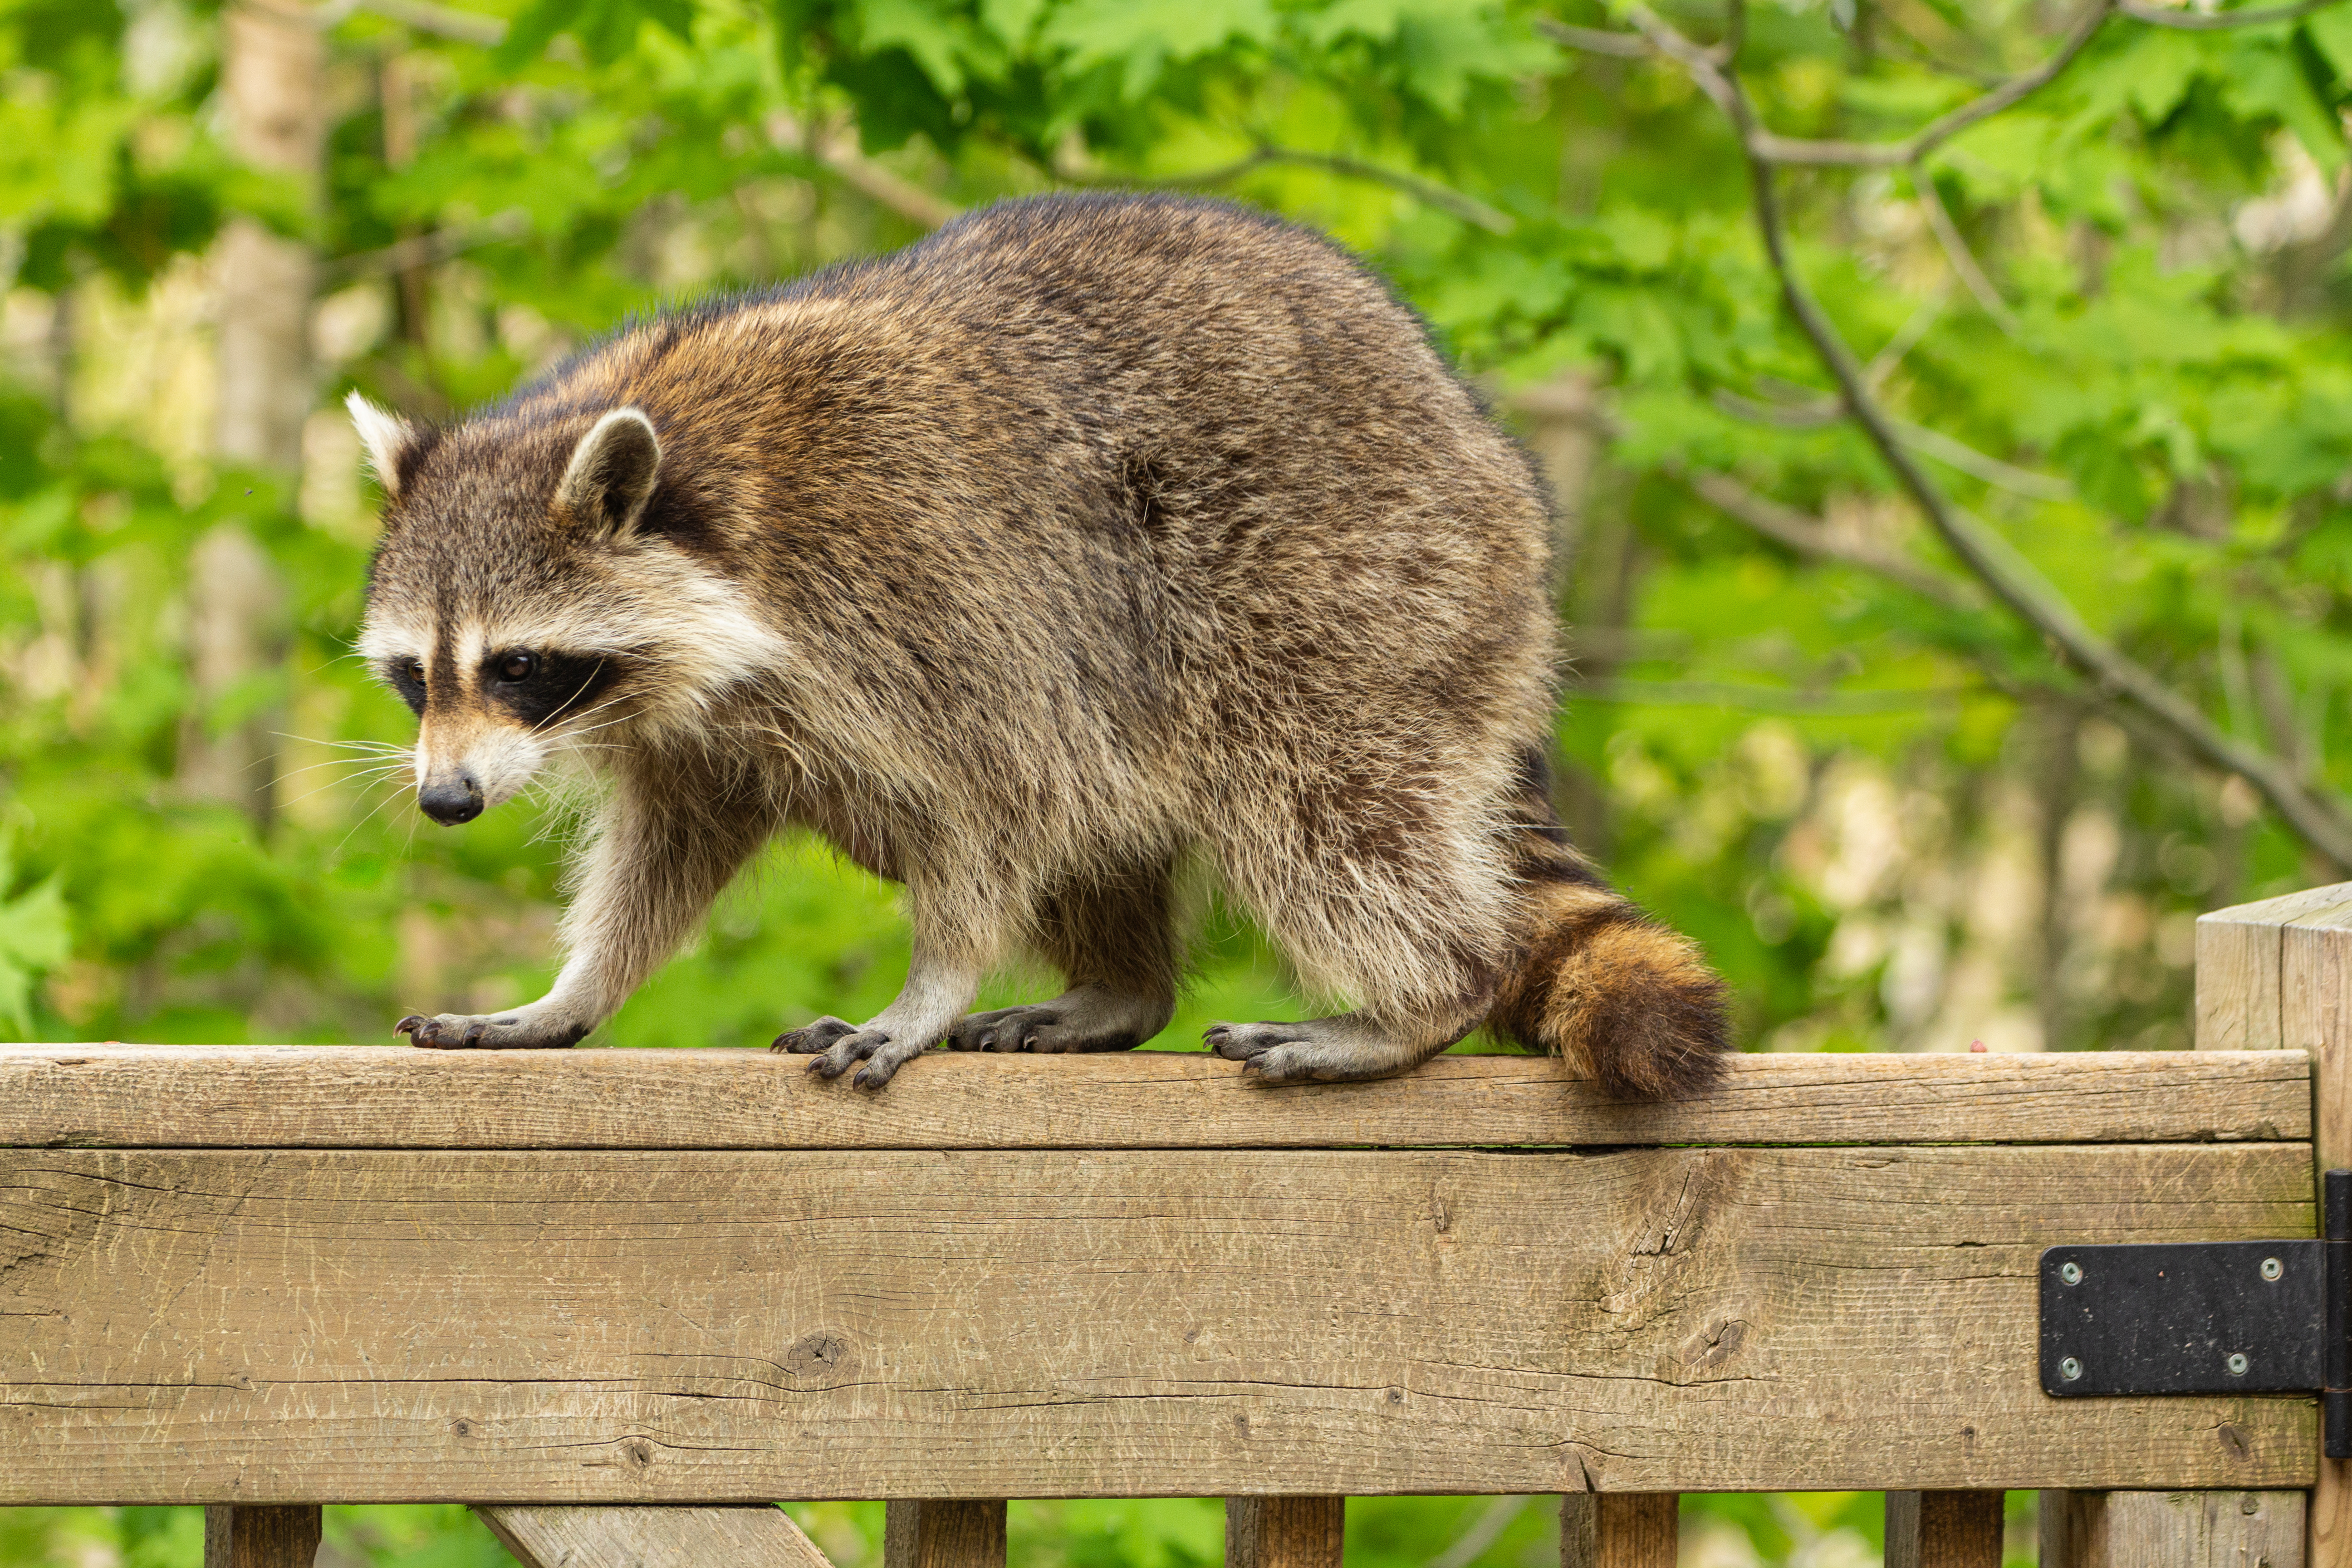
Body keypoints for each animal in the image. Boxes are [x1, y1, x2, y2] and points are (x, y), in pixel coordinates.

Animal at [357, 190, 1740, 1100]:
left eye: (517, 665)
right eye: (415, 676)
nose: (445, 801)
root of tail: (1477, 440)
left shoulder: (927, 582)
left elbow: (996, 802)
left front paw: (933, 980)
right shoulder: (700, 729)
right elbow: (669, 851)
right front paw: (576, 991)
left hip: (1355, 584)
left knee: (1317, 801)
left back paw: (1423, 993)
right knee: (1120, 804)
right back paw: (1122, 987)